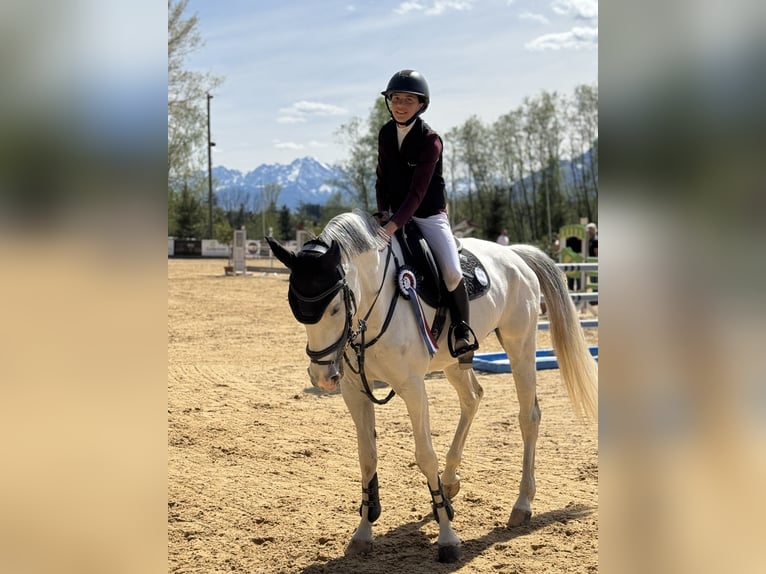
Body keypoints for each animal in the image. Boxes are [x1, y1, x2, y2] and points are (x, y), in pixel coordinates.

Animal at [266, 210, 597, 563]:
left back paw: (522, 503)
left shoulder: (413, 388)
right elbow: (367, 457)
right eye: (294, 307)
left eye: (336, 307)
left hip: (520, 344)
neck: (375, 304)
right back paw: (450, 482)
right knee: (472, 398)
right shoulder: (355, 391)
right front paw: (363, 533)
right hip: (454, 361)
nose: (322, 376)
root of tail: (515, 255)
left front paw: (447, 538)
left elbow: (425, 456)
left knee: (528, 416)